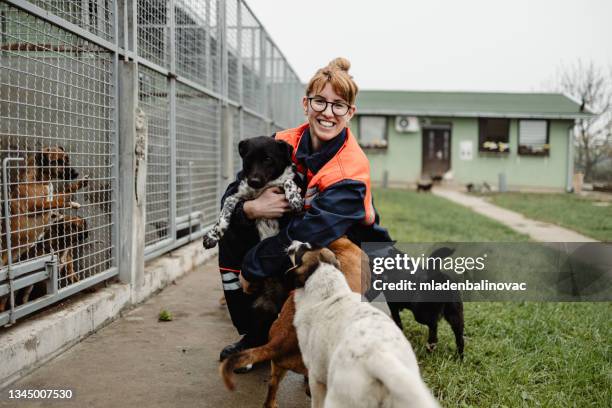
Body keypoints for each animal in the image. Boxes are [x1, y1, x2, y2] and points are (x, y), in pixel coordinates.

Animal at [0, 148, 88, 310]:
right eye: (56, 162)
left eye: (67, 159)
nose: (76, 173)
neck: (41, 180)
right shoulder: (36, 206)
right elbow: (57, 200)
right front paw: (69, 202)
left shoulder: (51, 213)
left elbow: (63, 192)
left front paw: (77, 188)